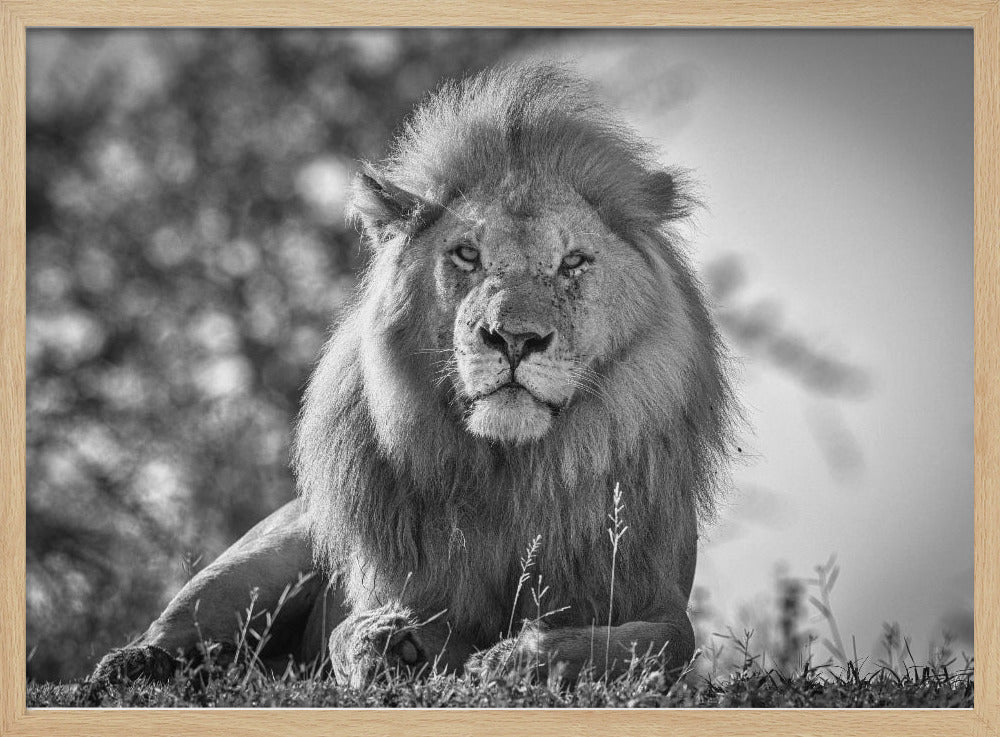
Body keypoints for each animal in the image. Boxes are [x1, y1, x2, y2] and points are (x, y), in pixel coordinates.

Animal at [90, 63, 734, 691]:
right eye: (467, 255)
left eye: (572, 261)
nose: (514, 339)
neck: (515, 473)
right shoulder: (385, 584)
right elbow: (347, 632)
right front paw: (390, 645)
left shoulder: (656, 595)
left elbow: (652, 645)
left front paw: (517, 660)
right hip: (267, 553)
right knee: (180, 629)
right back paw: (131, 667)